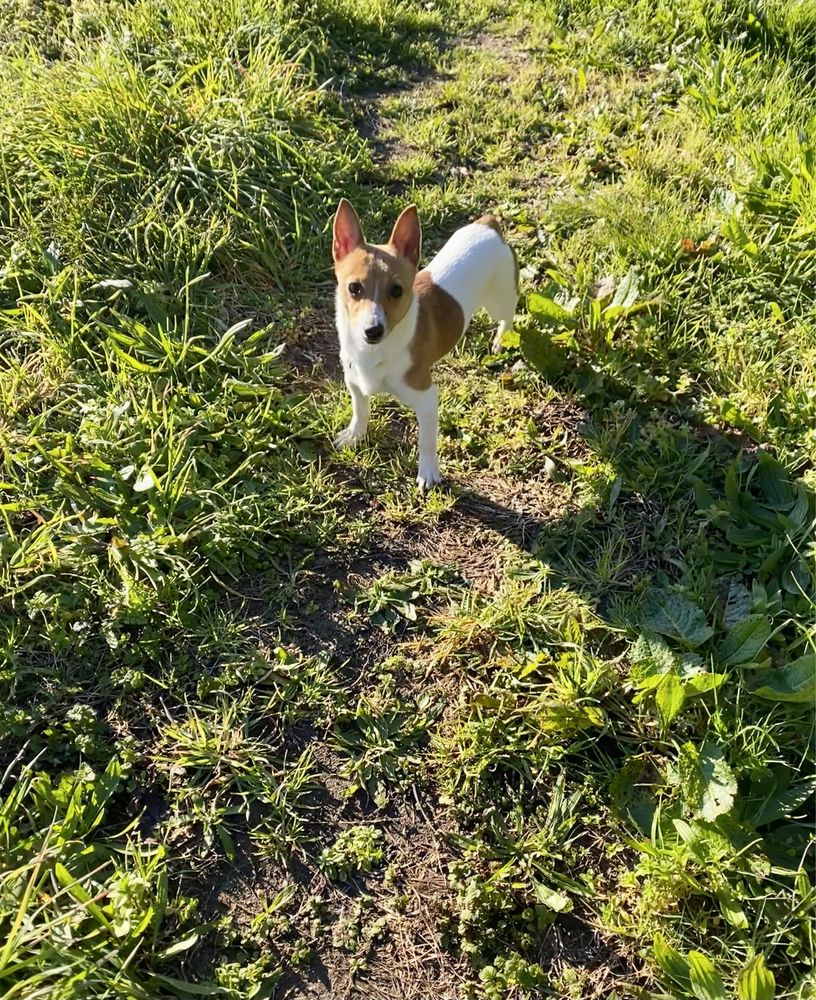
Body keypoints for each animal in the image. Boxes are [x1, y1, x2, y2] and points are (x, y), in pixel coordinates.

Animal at [330, 199, 516, 488]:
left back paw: (500, 340)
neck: (374, 352)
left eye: (397, 290)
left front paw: (428, 472)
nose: (373, 330)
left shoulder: (427, 399)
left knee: (510, 312)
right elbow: (360, 410)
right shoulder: (355, 382)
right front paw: (355, 434)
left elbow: (427, 442)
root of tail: (488, 225)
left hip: (500, 299)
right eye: (354, 288)